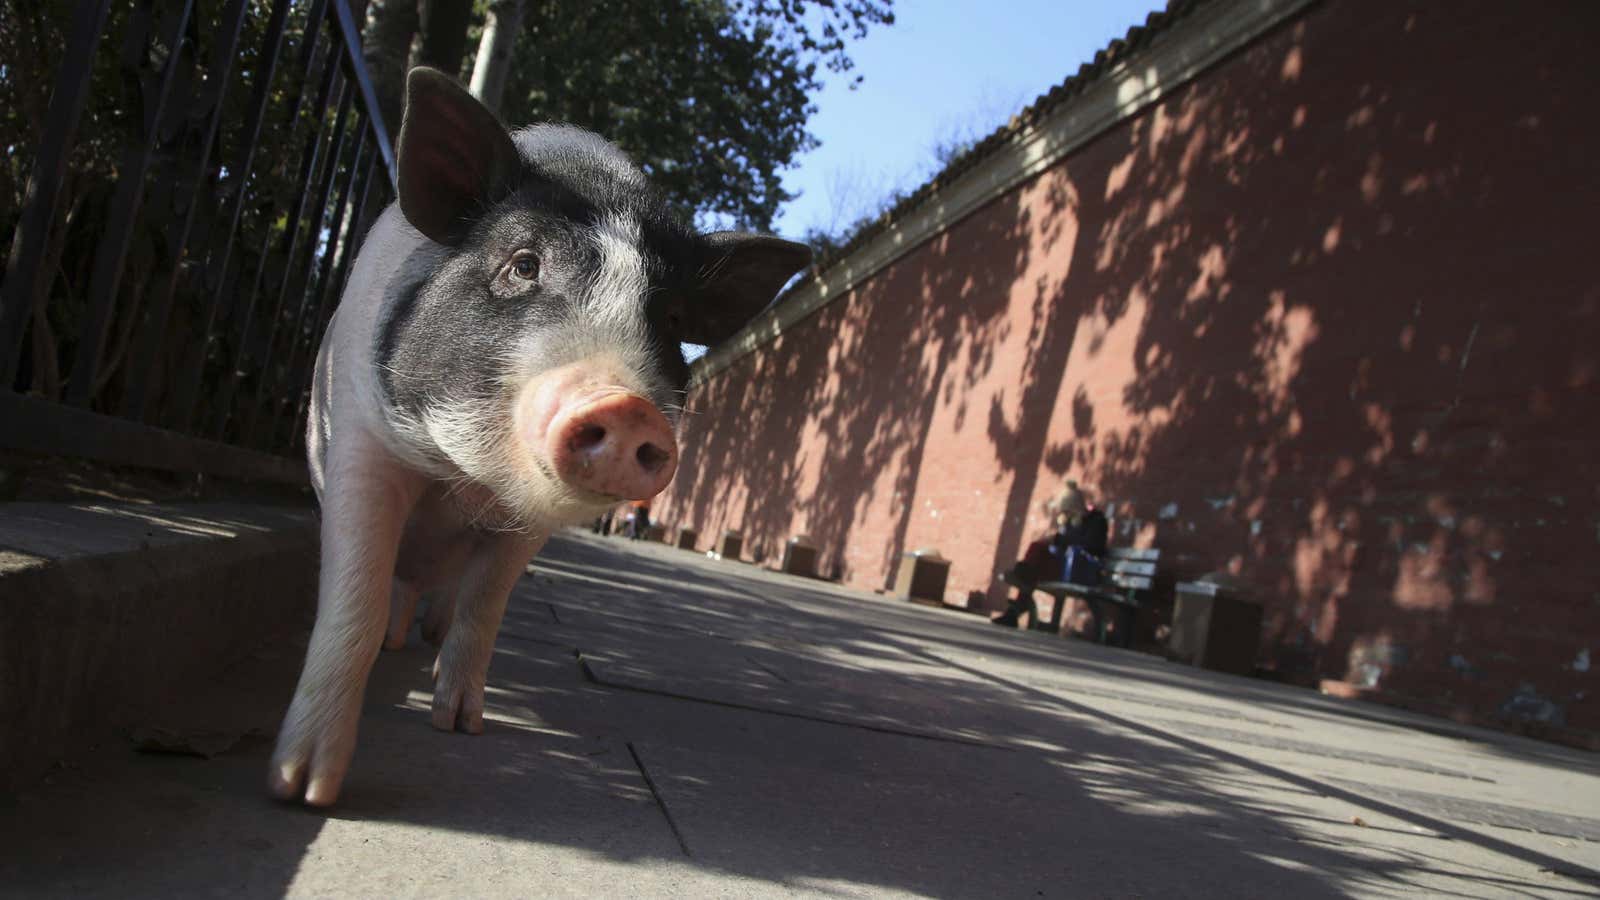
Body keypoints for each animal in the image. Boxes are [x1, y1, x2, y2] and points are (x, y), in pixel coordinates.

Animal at [270, 66, 812, 800]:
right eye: (524, 263)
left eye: (670, 317)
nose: (625, 404)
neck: (465, 478)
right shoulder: (359, 438)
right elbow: (354, 595)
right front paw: (302, 790)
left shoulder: (527, 523)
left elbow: (487, 605)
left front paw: (461, 728)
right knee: (398, 587)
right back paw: (395, 645)